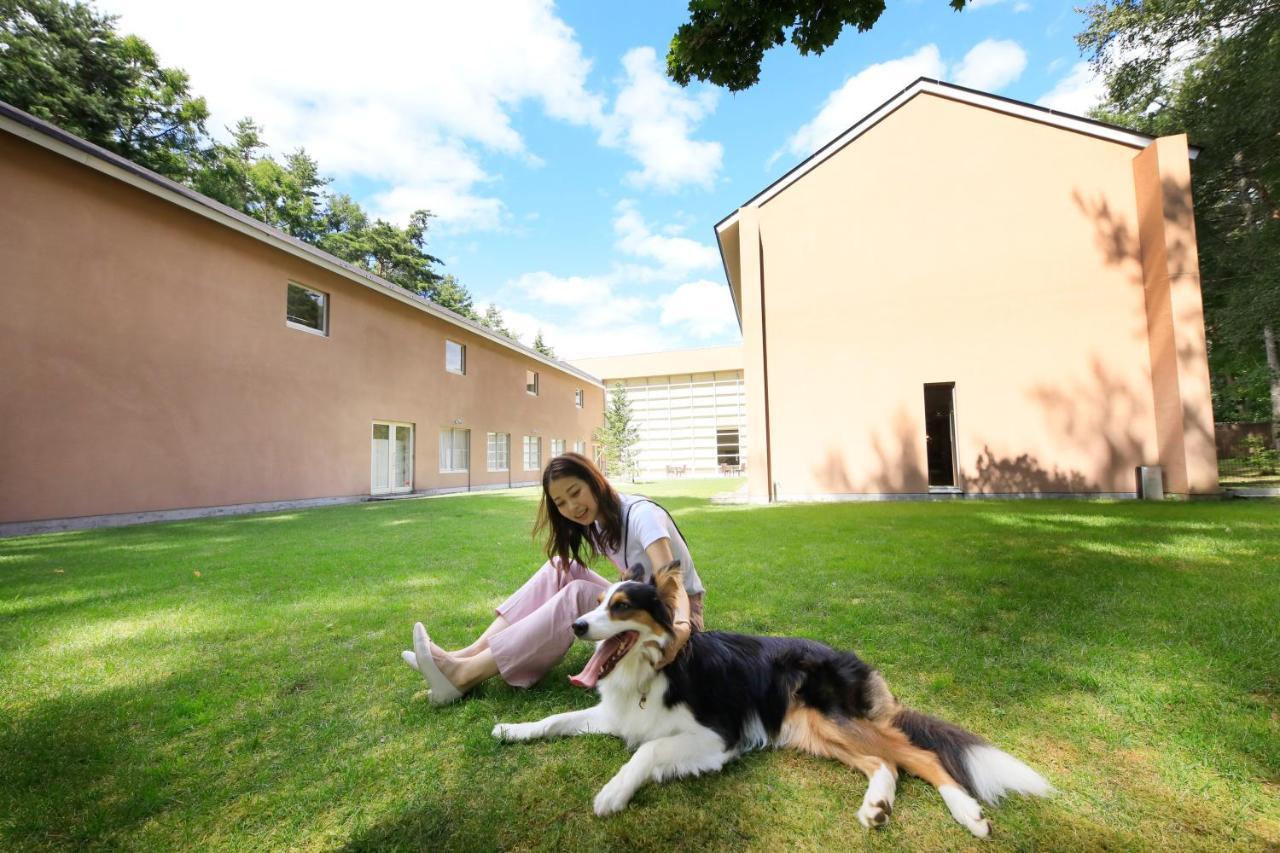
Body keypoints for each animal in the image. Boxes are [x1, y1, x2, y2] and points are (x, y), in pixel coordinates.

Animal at [488, 563, 1049, 829]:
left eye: (622, 606)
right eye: (599, 602)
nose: (578, 625)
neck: (656, 668)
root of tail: (858, 663)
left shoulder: (717, 736)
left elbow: (646, 752)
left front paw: (613, 793)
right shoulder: (619, 714)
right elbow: (557, 719)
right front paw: (512, 729)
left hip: (833, 718)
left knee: (920, 755)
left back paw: (967, 814)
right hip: (813, 731)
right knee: (885, 763)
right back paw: (877, 807)